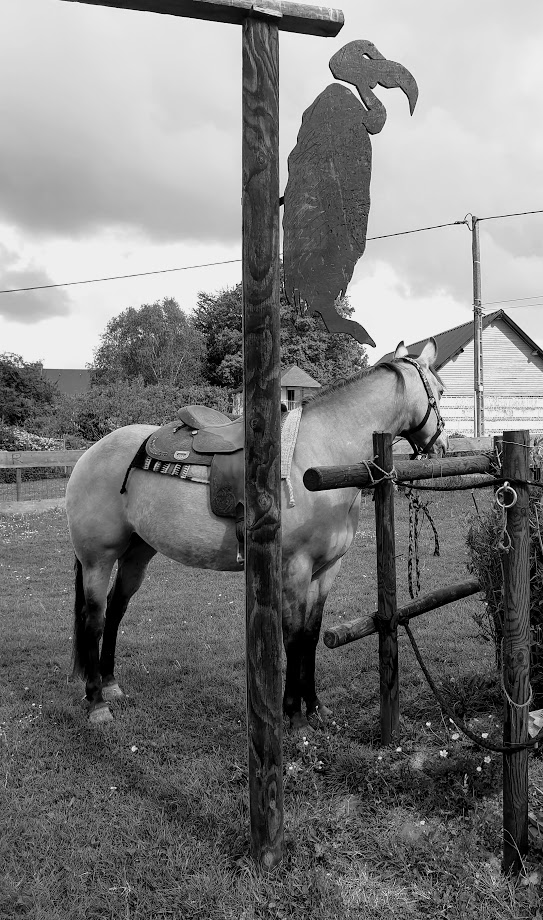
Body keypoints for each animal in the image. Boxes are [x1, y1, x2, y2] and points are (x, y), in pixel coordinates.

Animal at [66, 338, 448, 724]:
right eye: (442, 391)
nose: (443, 446)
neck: (319, 457)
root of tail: (91, 453)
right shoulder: (294, 568)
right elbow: (292, 637)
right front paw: (293, 715)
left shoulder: (326, 570)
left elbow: (311, 635)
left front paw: (315, 707)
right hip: (98, 558)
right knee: (93, 619)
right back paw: (97, 702)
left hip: (137, 552)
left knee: (116, 608)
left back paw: (111, 684)